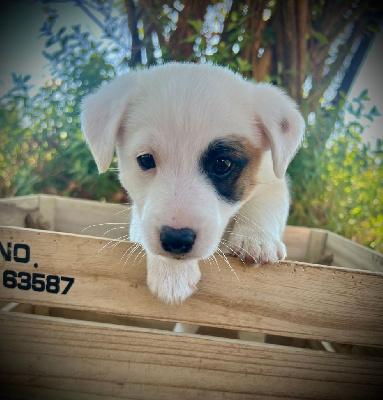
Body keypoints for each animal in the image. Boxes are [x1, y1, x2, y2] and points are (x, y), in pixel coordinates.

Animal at [82, 64, 306, 304]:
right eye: (146, 160)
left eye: (222, 164)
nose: (176, 239)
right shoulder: (140, 218)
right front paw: (172, 274)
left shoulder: (272, 179)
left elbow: (264, 204)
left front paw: (257, 238)